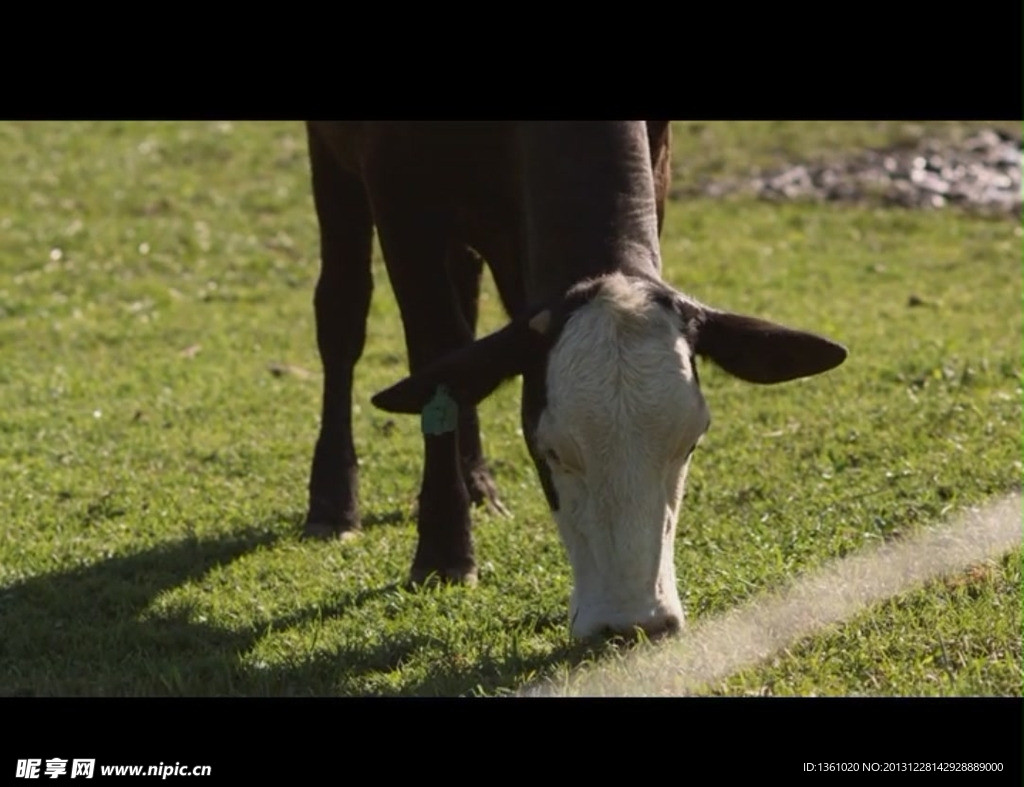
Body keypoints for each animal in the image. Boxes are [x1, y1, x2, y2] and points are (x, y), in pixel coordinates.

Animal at [303, 121, 847, 638]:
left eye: (689, 444)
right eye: (551, 452)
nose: (633, 623)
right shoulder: (397, 191)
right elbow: (435, 352)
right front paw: (443, 553)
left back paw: (477, 480)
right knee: (343, 310)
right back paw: (333, 504)